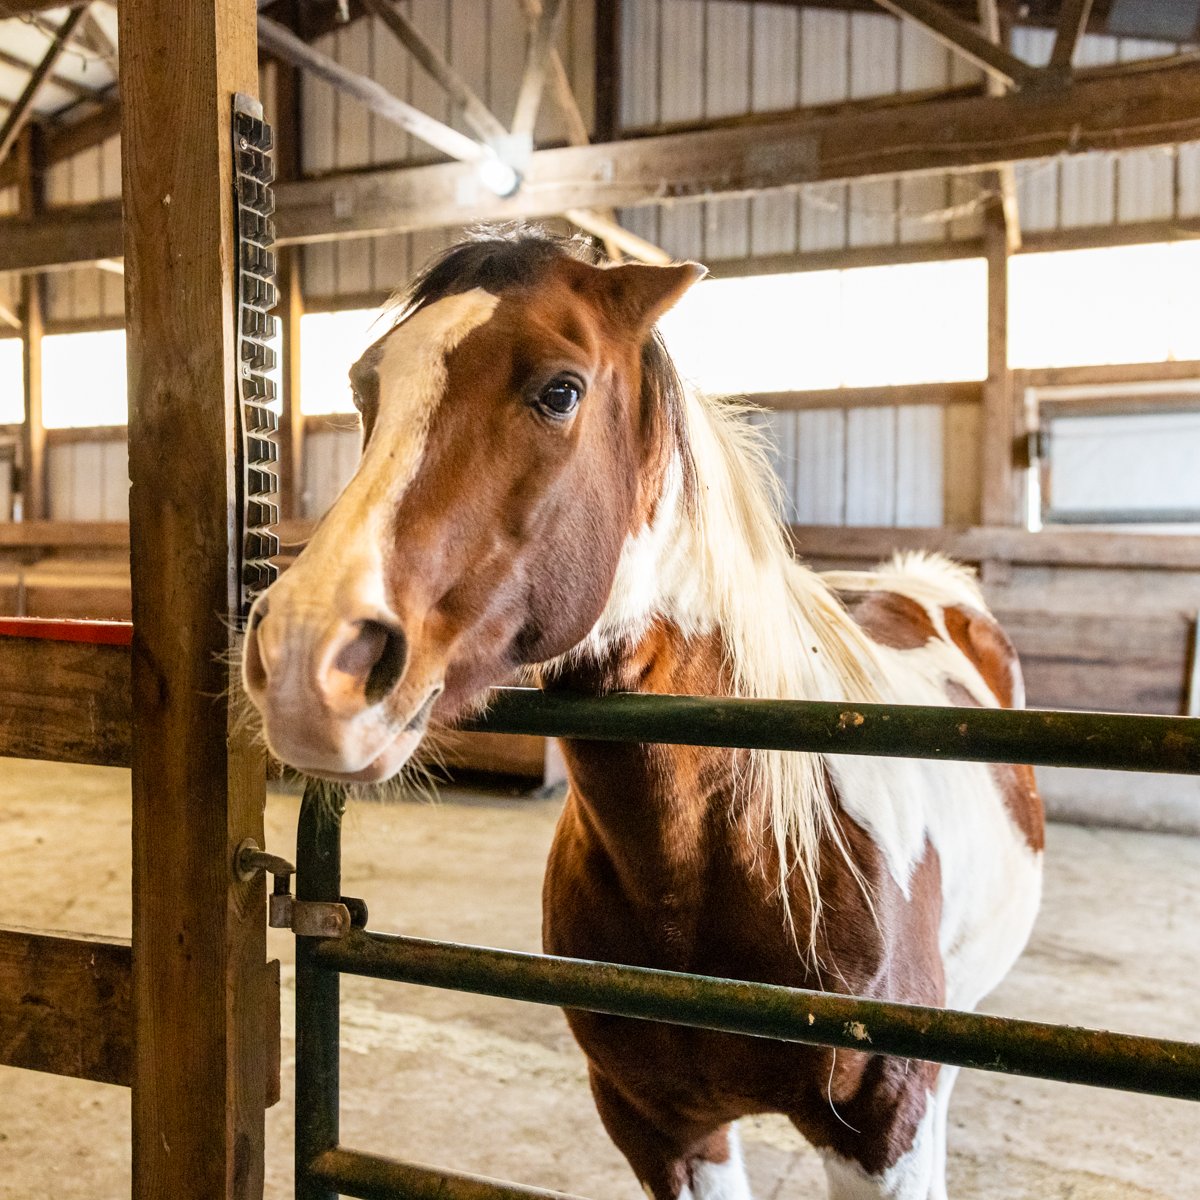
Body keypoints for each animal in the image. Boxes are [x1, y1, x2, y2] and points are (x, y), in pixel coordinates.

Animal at [241, 230, 1044, 1200]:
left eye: (560, 390)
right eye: (366, 387)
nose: (306, 656)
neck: (721, 856)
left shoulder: (884, 1138)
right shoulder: (660, 1128)